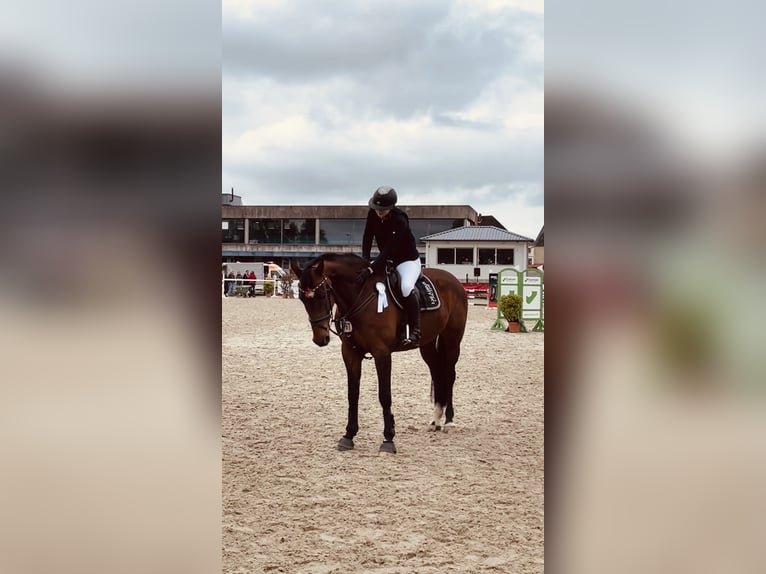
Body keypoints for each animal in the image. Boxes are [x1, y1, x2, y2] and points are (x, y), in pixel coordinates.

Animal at [291, 253, 468, 454]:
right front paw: (348, 435)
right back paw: (436, 420)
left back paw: (449, 421)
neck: (358, 296)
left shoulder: (382, 353)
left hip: (452, 339)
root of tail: (454, 280)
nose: (320, 338)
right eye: (302, 299)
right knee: (437, 373)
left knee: (449, 375)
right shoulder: (350, 353)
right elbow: (353, 394)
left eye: (321, 295)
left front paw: (388, 439)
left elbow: (384, 395)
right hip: (428, 344)